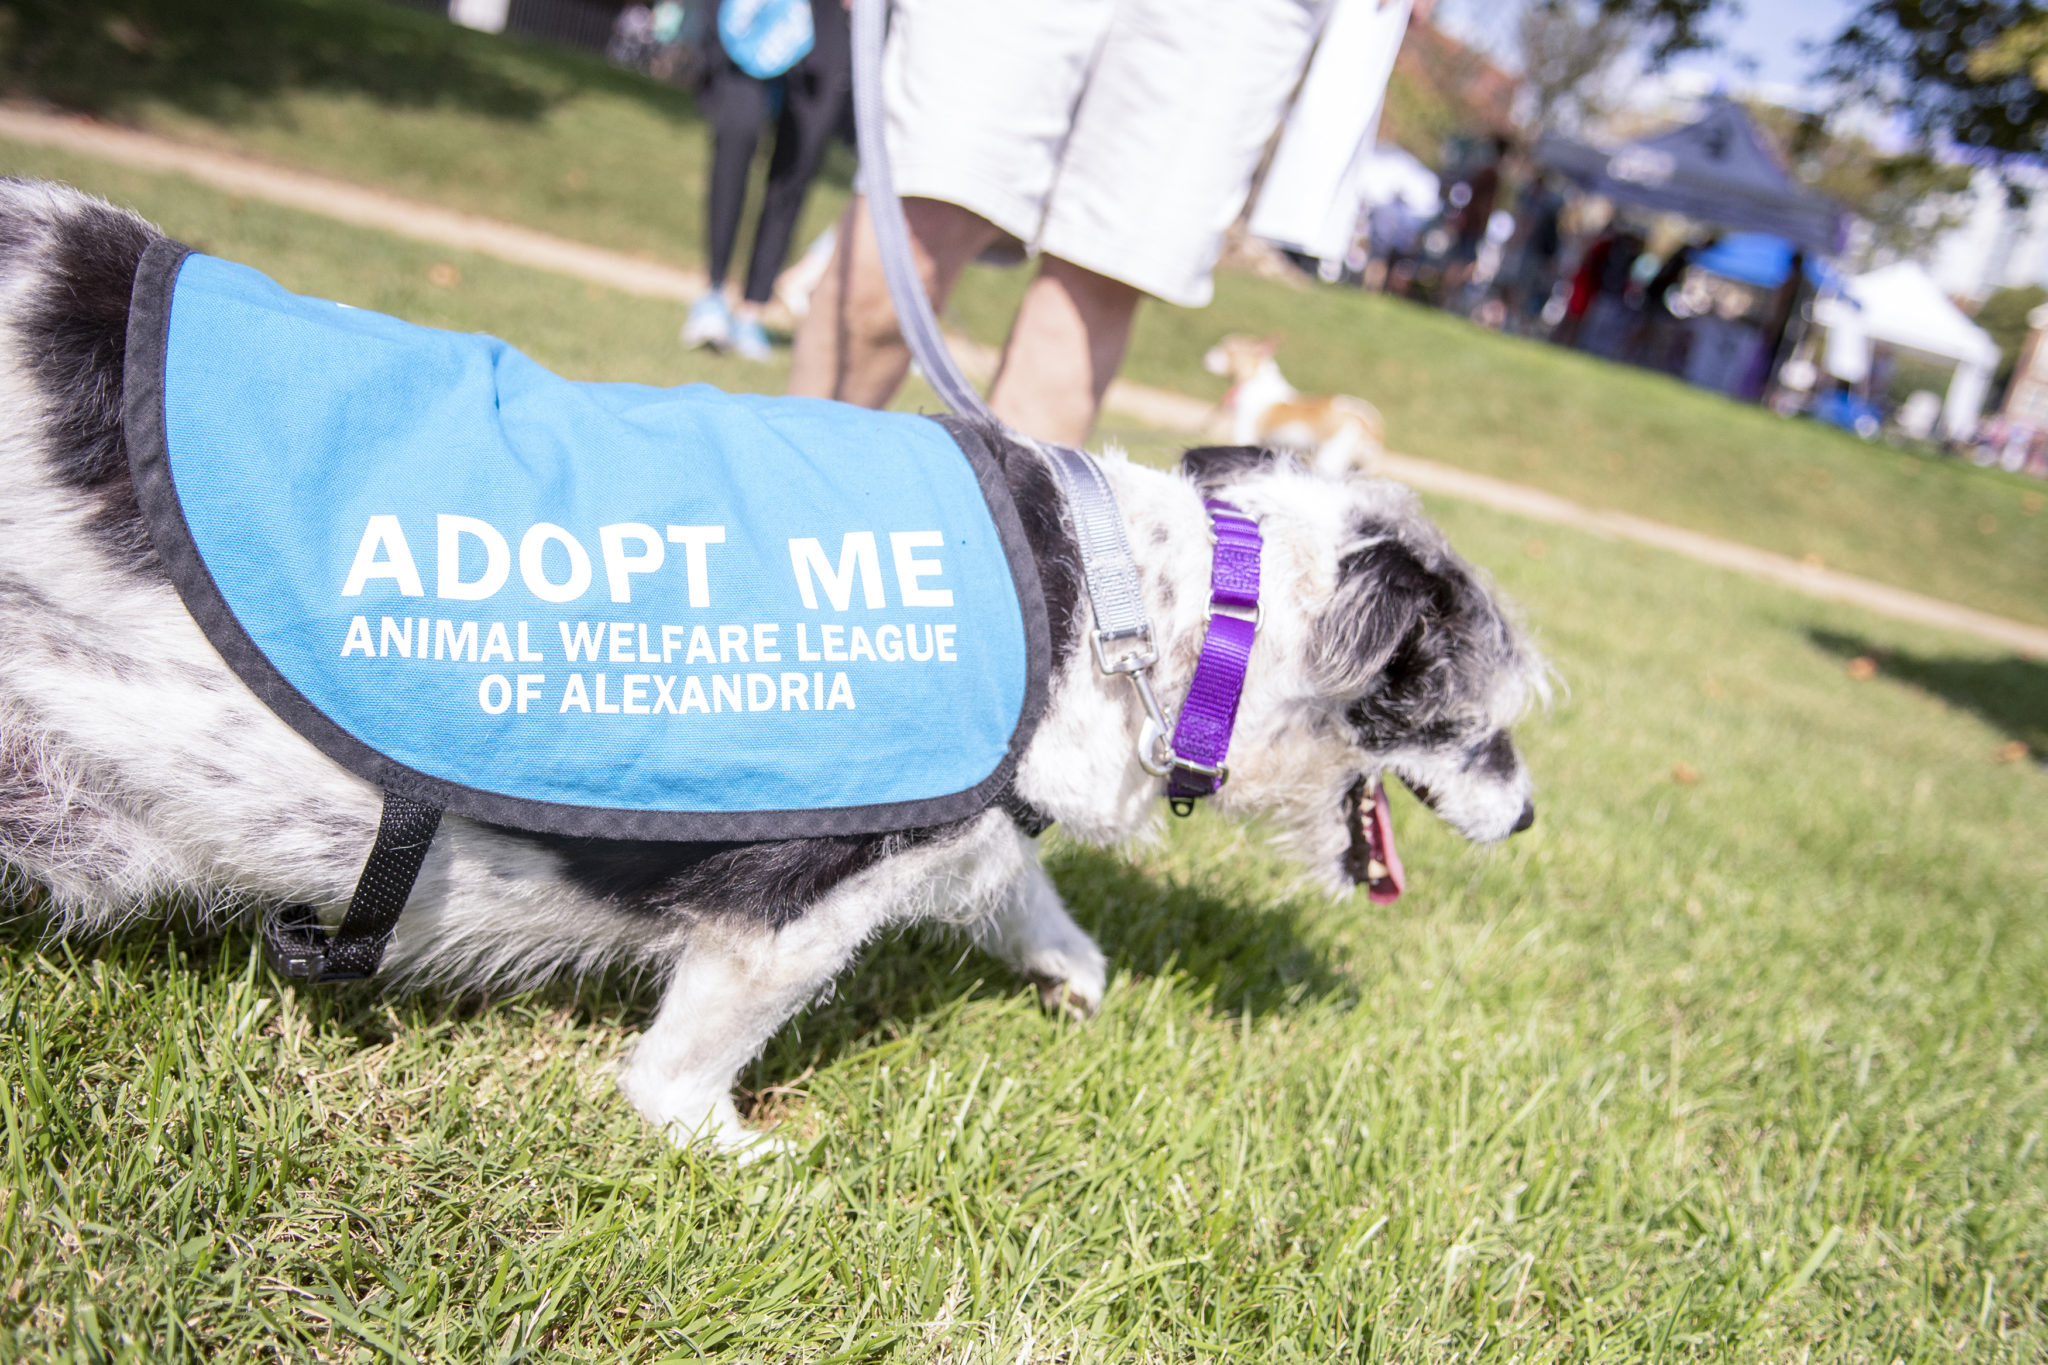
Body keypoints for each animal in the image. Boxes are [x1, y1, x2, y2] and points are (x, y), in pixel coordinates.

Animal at [1204, 331, 1384, 480]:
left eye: (1224, 349)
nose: (1207, 355)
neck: (1253, 377)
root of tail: (1369, 420)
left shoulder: (1244, 434)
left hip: (1331, 457)